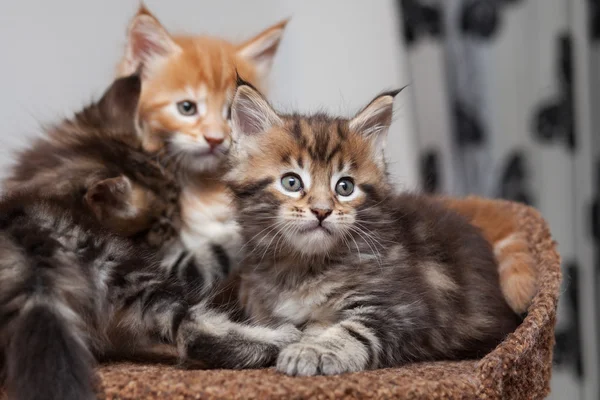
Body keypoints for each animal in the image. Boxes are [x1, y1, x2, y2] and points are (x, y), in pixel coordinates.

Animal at [0, 76, 300, 400]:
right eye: (163, 225)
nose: (180, 229)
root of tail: (33, 237)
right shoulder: (175, 266)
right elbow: (216, 249)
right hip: (130, 270)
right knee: (194, 333)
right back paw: (284, 337)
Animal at [214, 80, 520, 376]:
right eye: (291, 182)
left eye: (345, 187)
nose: (322, 211)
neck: (305, 267)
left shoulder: (404, 308)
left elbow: (352, 330)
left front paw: (311, 350)